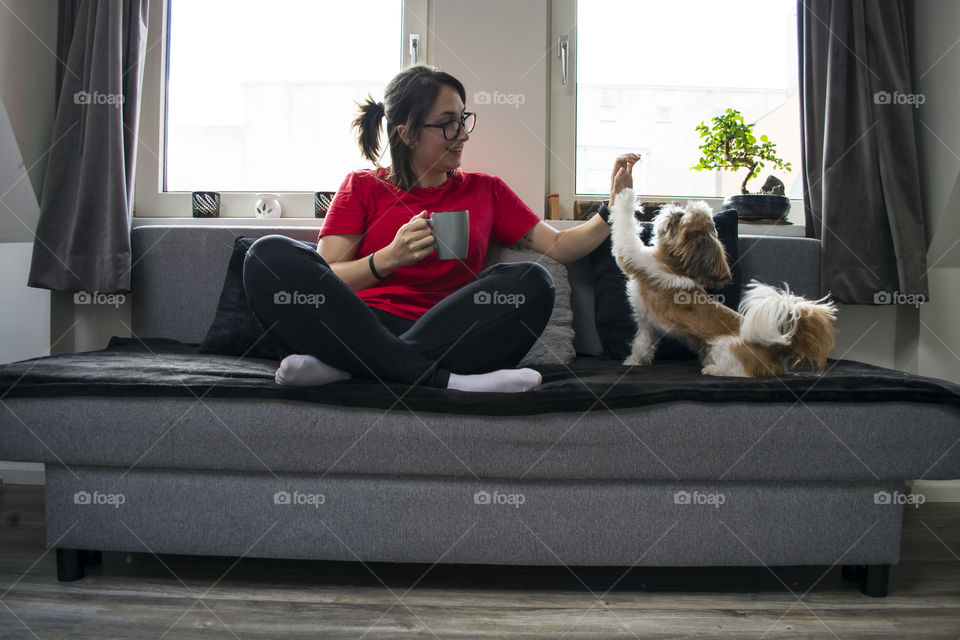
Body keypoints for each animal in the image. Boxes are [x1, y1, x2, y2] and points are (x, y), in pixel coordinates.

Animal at [612, 188, 836, 378]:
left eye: (681, 218)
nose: (675, 208)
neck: (672, 264)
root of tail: (778, 348)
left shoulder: (635, 255)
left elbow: (625, 229)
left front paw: (625, 195)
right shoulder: (649, 326)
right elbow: (642, 344)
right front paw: (634, 361)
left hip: (722, 345)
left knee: (743, 372)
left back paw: (714, 370)